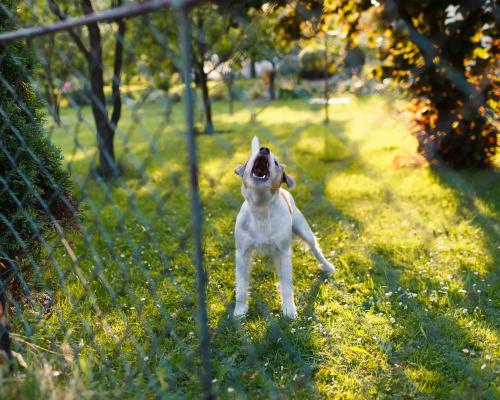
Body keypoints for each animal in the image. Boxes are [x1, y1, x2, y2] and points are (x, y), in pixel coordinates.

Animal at [234, 138, 336, 318]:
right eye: (250, 158)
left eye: (275, 162)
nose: (264, 149)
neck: (261, 209)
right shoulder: (242, 253)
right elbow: (241, 285)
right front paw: (239, 310)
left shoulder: (283, 253)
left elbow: (287, 285)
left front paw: (289, 309)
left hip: (305, 231)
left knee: (315, 249)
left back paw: (327, 266)